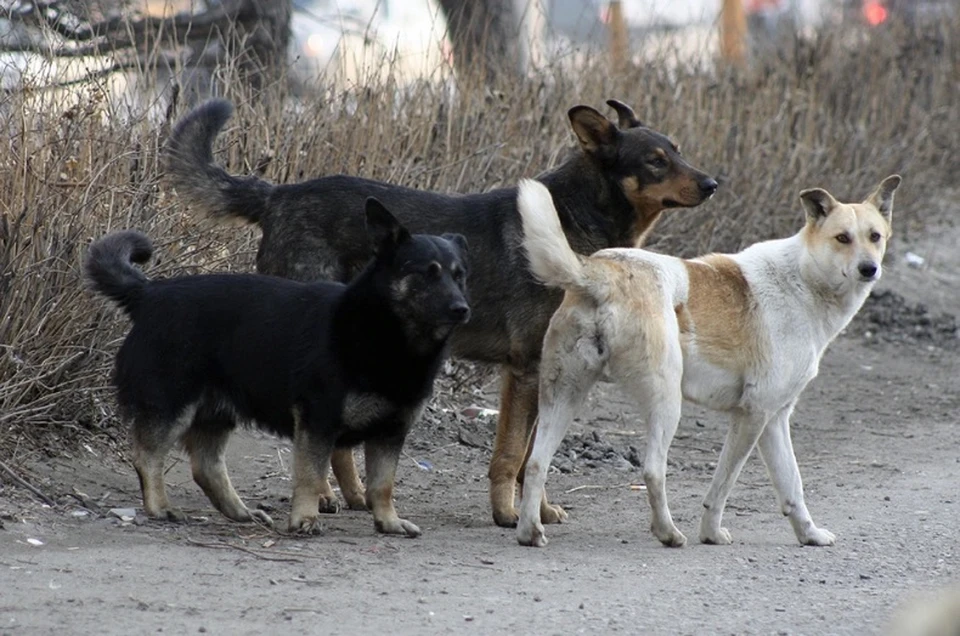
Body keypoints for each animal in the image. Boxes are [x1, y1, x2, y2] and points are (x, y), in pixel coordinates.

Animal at [86, 200, 468, 536]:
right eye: (427, 273)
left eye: (459, 275)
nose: (462, 309)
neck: (387, 335)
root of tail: (148, 293)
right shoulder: (317, 423)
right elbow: (312, 477)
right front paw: (305, 519)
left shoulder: (390, 433)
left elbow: (382, 486)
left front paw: (388, 522)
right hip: (172, 405)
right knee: (147, 456)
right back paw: (160, 507)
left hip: (216, 413)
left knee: (206, 467)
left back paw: (240, 512)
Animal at [167, 98, 720, 528]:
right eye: (655, 161)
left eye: (677, 151)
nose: (713, 183)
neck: (572, 218)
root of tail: (278, 195)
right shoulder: (526, 371)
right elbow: (511, 456)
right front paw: (507, 514)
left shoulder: (545, 374)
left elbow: (532, 457)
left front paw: (537, 509)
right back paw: (322, 496)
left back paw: (350, 495)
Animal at [516, 174, 900, 548]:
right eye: (842, 238)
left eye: (875, 236)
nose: (869, 269)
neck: (804, 280)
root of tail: (598, 273)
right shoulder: (753, 415)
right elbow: (723, 485)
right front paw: (711, 533)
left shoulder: (775, 419)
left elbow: (792, 484)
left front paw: (810, 535)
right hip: (666, 402)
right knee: (652, 470)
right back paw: (669, 533)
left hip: (564, 398)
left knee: (535, 464)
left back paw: (529, 532)